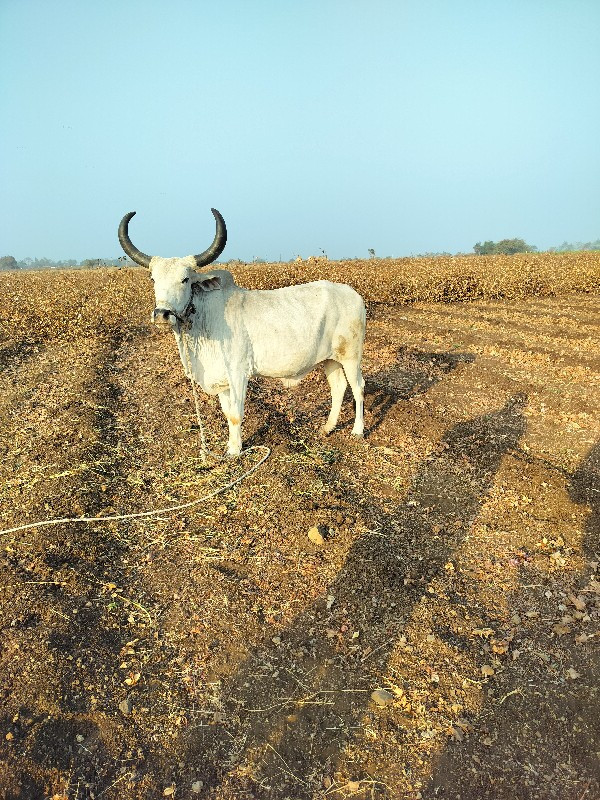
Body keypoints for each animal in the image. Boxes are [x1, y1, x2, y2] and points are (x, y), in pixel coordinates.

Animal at [119, 208, 366, 456]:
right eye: (153, 279)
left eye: (185, 279)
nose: (162, 314)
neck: (204, 319)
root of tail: (354, 294)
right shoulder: (222, 381)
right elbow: (228, 414)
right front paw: (231, 445)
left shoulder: (238, 374)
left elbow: (237, 415)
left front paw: (235, 451)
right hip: (330, 359)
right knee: (338, 387)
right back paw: (328, 427)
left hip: (351, 357)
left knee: (358, 387)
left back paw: (358, 430)